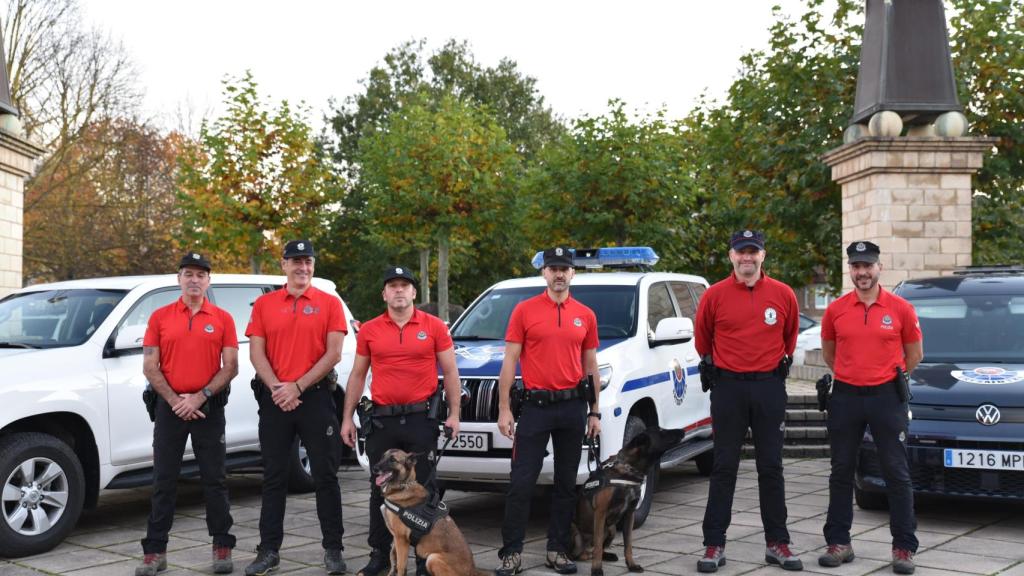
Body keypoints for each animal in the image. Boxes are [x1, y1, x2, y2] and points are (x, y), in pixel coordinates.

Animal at [573, 424, 684, 569]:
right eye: (661, 432)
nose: (683, 430)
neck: (629, 469)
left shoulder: (629, 514)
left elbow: (628, 544)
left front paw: (631, 565)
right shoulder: (600, 512)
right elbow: (598, 544)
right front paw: (597, 570)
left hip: (611, 529)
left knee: (599, 549)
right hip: (579, 533)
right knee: (583, 553)